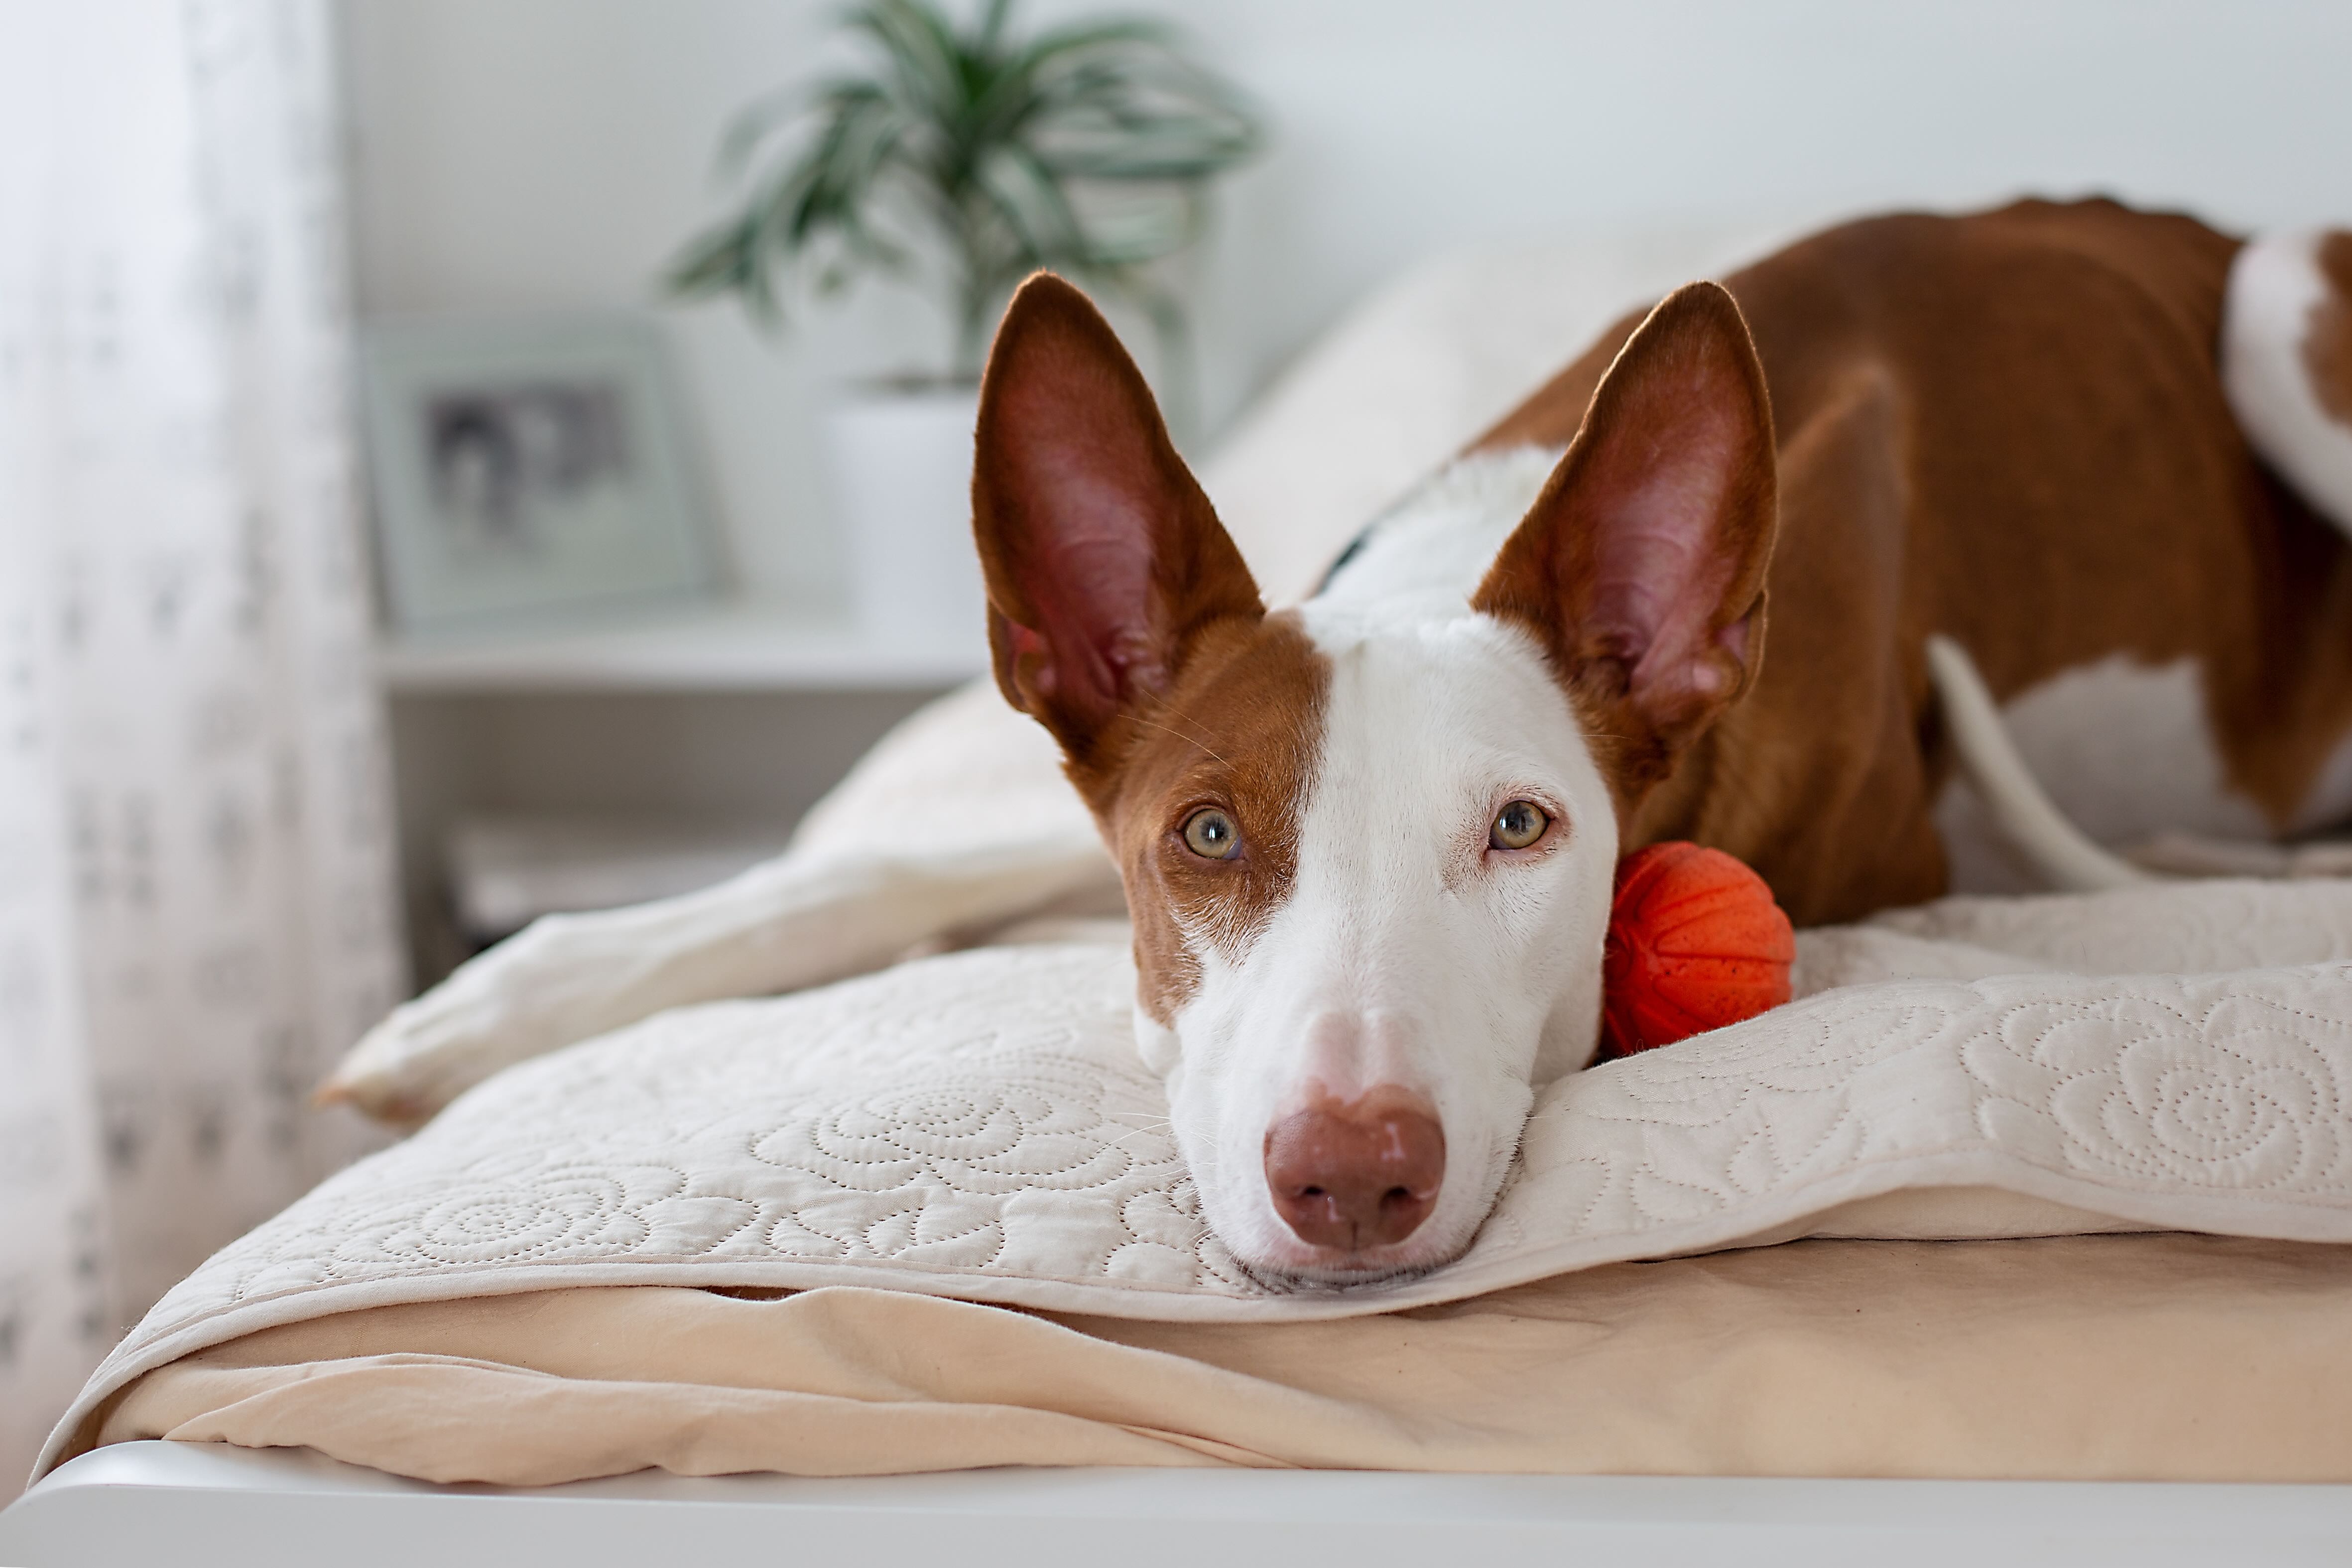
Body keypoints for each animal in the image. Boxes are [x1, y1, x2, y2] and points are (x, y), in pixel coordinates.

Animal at [327, 200, 2352, 1288]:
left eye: (1524, 828)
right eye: (1206, 839)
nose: (1350, 1175)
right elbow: (907, 854)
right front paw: (509, 995)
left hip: (2274, 305)